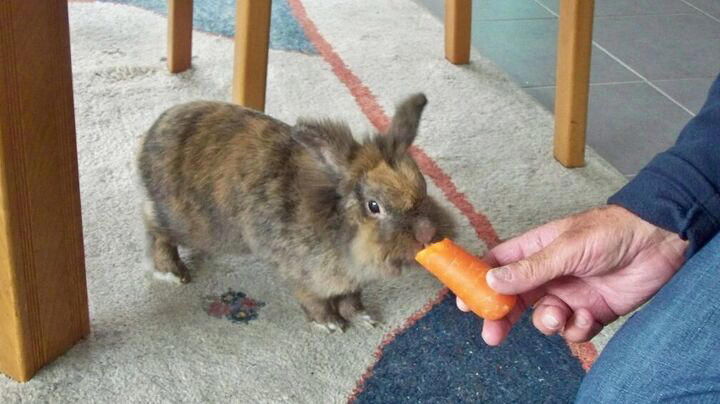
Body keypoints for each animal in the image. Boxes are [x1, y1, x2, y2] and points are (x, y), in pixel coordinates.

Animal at [137, 93, 453, 332]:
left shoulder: (351, 282)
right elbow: (315, 302)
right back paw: (171, 272)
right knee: (154, 226)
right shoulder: (306, 277)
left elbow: (351, 300)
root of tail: (154, 131)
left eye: (423, 186)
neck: (339, 224)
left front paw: (364, 318)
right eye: (374, 206)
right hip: (190, 223)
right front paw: (330, 325)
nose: (427, 232)